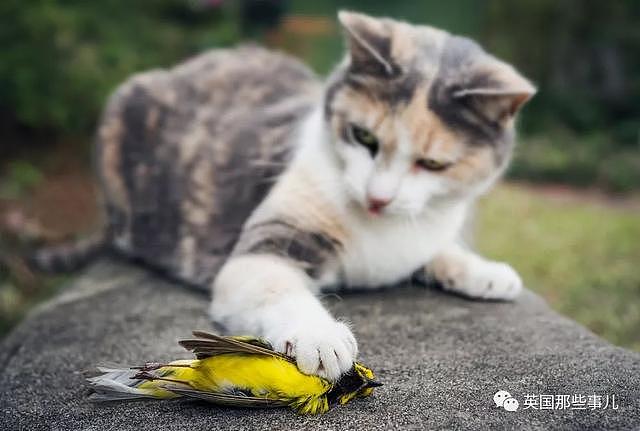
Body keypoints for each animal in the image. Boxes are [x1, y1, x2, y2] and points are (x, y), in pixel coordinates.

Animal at [33, 11, 536, 382]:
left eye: (432, 164)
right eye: (363, 136)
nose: (377, 199)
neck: (384, 231)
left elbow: (438, 250)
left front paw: (487, 272)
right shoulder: (264, 247)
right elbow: (276, 285)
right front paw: (320, 337)